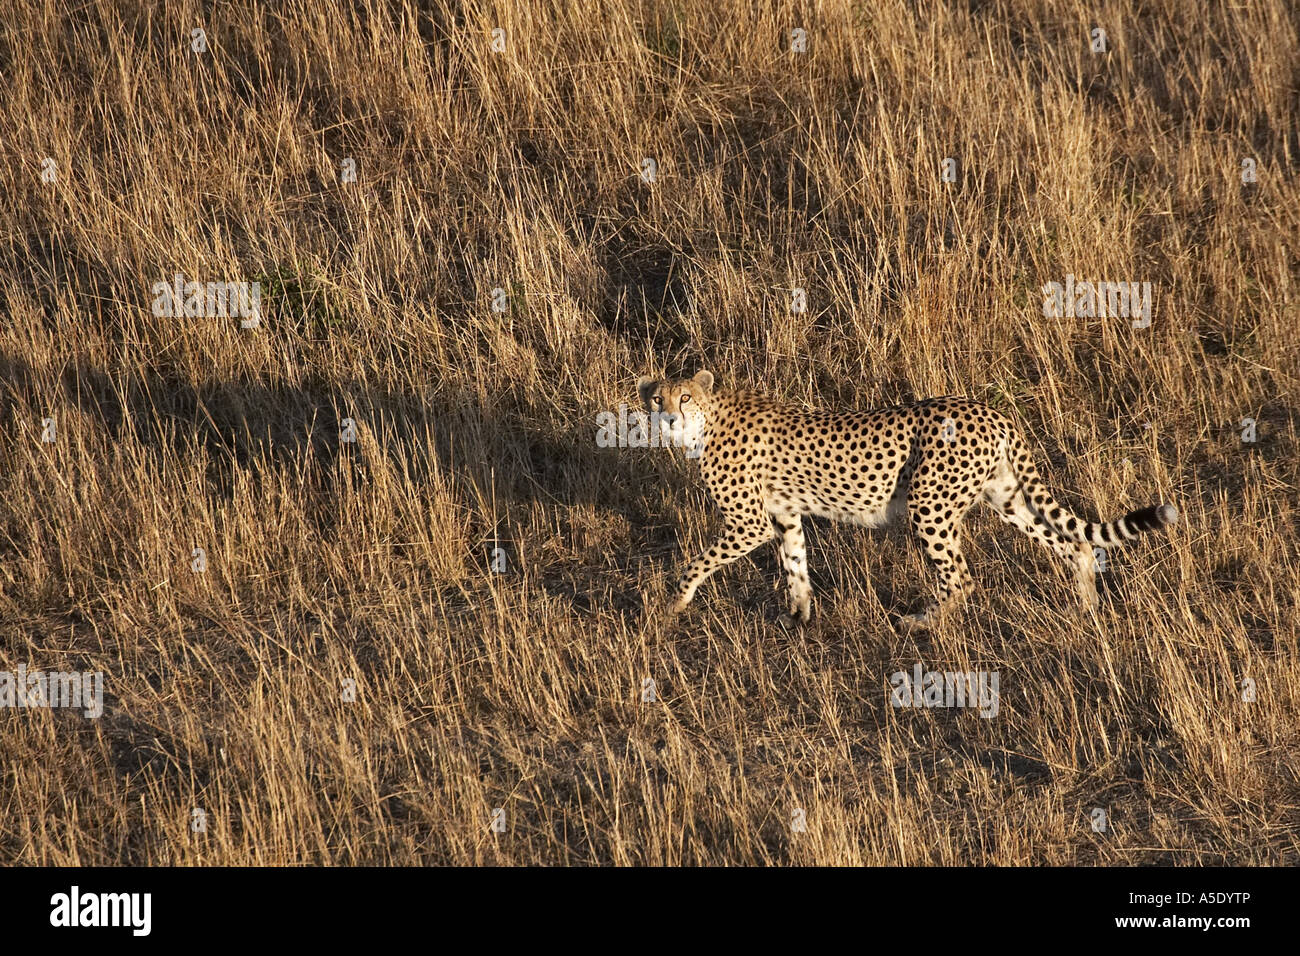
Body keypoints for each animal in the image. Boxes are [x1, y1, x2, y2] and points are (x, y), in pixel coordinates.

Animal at [639, 371, 1180, 629]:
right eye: (656, 398)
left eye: (684, 397)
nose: (667, 415)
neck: (706, 424)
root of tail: (991, 410)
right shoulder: (785, 515)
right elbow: (795, 565)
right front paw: (800, 616)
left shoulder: (748, 522)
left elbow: (695, 563)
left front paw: (672, 604)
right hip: (1005, 498)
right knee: (1076, 544)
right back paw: (1085, 609)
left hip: (929, 504)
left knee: (961, 579)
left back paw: (922, 623)